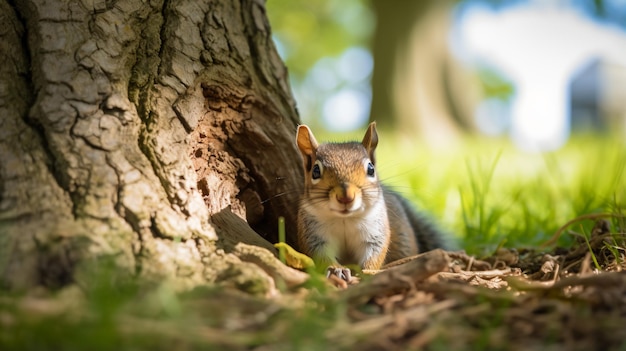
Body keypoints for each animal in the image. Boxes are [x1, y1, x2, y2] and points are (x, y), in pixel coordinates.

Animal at [294, 121, 446, 280]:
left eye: (371, 169)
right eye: (315, 171)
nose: (346, 197)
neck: (345, 219)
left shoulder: (374, 231)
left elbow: (375, 253)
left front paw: (366, 271)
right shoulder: (314, 233)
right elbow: (320, 255)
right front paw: (337, 269)